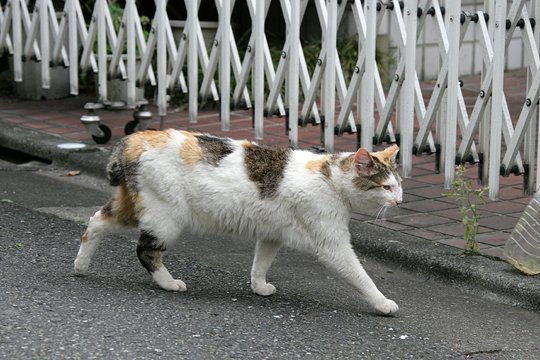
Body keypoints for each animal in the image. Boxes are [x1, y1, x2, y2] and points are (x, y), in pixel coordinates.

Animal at [73, 130, 400, 316]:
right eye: (386, 187)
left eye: (398, 185)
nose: (399, 200)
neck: (329, 177)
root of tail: (135, 138)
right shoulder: (333, 246)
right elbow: (361, 276)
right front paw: (383, 303)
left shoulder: (272, 233)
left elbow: (261, 262)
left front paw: (259, 286)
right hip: (166, 216)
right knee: (146, 252)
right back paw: (169, 283)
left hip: (135, 206)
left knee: (96, 222)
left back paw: (81, 266)